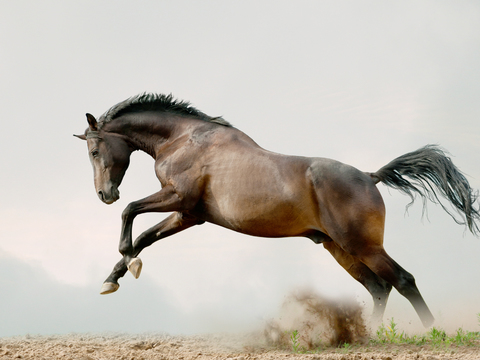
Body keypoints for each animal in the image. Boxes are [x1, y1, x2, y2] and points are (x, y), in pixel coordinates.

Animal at [75, 92, 480, 326]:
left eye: (94, 150)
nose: (104, 194)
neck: (183, 139)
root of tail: (370, 176)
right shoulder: (190, 215)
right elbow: (144, 235)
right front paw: (114, 277)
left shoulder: (178, 199)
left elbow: (130, 213)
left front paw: (127, 262)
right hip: (339, 248)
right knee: (379, 287)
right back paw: (370, 337)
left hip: (362, 245)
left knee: (403, 280)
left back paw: (432, 332)